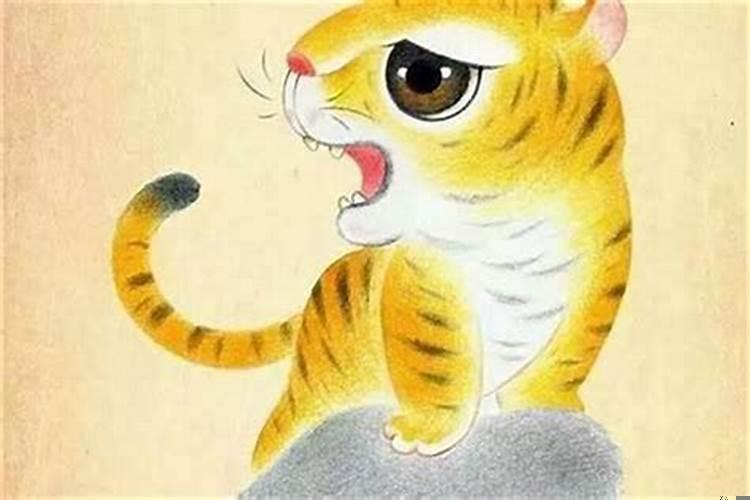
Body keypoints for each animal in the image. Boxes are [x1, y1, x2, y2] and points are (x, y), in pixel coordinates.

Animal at [112, 0, 631, 475]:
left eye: (423, 76)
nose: (296, 61)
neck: (508, 212)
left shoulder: (604, 275)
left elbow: (573, 351)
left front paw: (546, 402)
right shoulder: (423, 282)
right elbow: (434, 357)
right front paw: (427, 431)